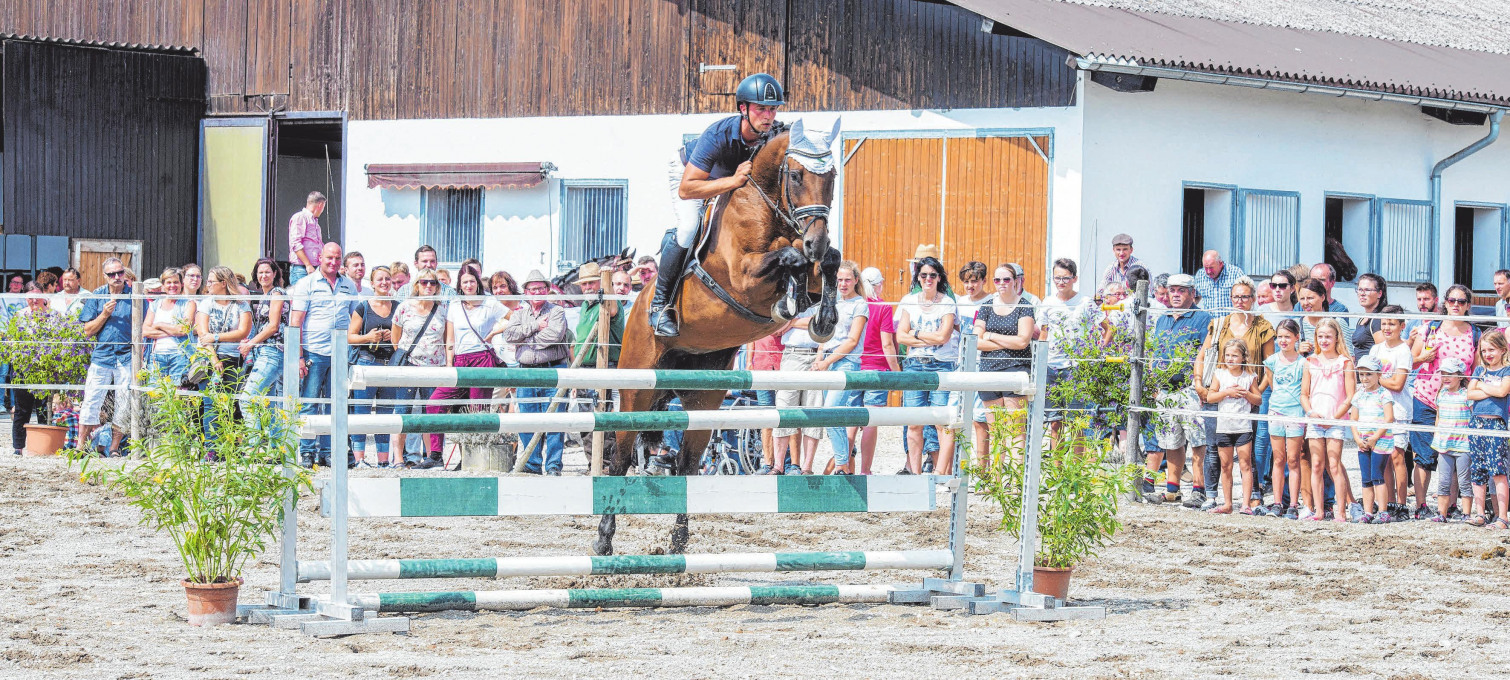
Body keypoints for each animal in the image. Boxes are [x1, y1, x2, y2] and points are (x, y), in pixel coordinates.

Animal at [591, 117, 851, 559]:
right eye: (796, 175)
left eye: (831, 177)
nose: (816, 238)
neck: (769, 208)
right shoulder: (743, 277)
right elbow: (791, 258)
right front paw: (790, 299)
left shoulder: (812, 263)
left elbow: (826, 262)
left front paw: (822, 318)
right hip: (638, 389)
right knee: (621, 457)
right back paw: (604, 540)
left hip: (704, 398)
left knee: (687, 464)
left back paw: (678, 544)